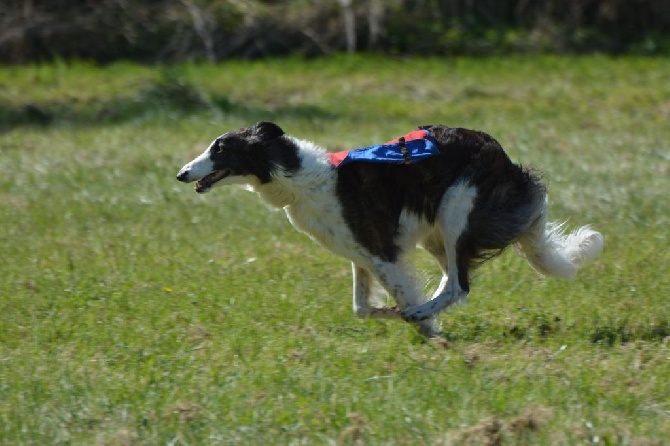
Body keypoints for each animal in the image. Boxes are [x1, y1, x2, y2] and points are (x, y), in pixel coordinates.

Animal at [176, 120, 608, 336]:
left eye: (219, 148)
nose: (181, 174)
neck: (305, 179)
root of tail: (507, 160)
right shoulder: (363, 254)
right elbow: (362, 307)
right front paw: (401, 315)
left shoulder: (382, 252)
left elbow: (392, 297)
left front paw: (429, 330)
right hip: (437, 230)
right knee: (453, 281)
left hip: (455, 210)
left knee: (459, 285)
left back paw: (421, 314)